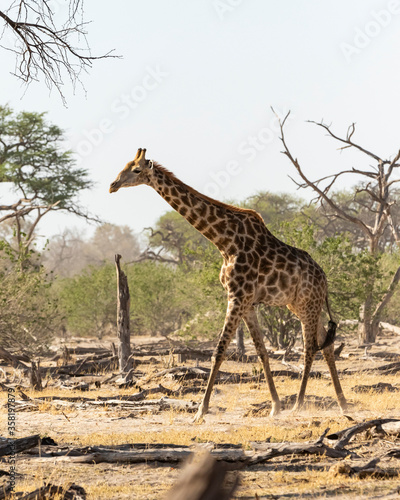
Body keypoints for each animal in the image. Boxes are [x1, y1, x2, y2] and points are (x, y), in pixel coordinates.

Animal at [109, 149, 346, 422]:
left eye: (136, 170)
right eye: (124, 166)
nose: (113, 185)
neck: (224, 241)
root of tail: (325, 279)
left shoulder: (237, 296)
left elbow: (219, 351)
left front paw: (200, 411)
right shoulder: (247, 302)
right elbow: (262, 351)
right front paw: (275, 406)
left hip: (308, 304)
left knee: (310, 349)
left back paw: (299, 404)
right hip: (300, 305)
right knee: (326, 344)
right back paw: (342, 403)